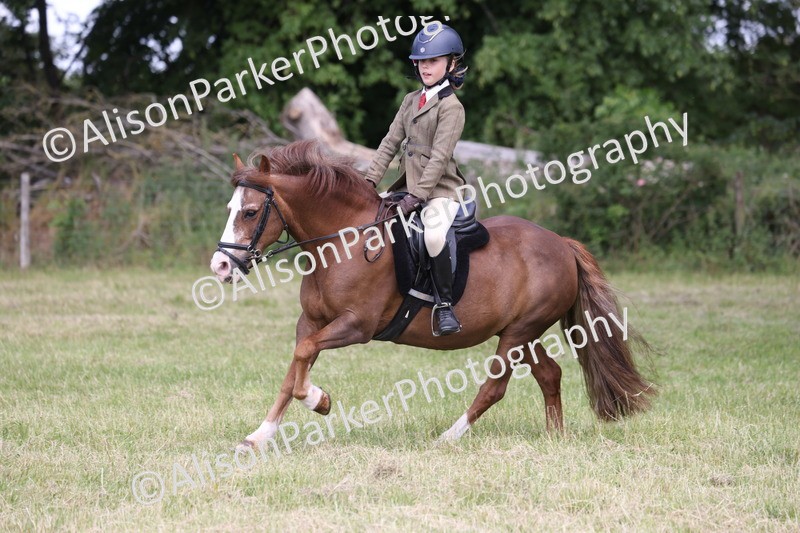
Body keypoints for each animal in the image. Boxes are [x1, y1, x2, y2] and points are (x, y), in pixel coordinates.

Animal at [209, 140, 655, 448]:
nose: (220, 267)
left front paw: (320, 401)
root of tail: (561, 243)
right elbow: (293, 370)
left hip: (518, 334)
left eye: (250, 212)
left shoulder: (356, 325)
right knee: (549, 373)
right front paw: (260, 435)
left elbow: (302, 362)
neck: (342, 242)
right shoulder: (312, 322)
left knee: (494, 388)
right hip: (520, 333)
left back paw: (448, 438)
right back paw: (554, 436)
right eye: (230, 209)